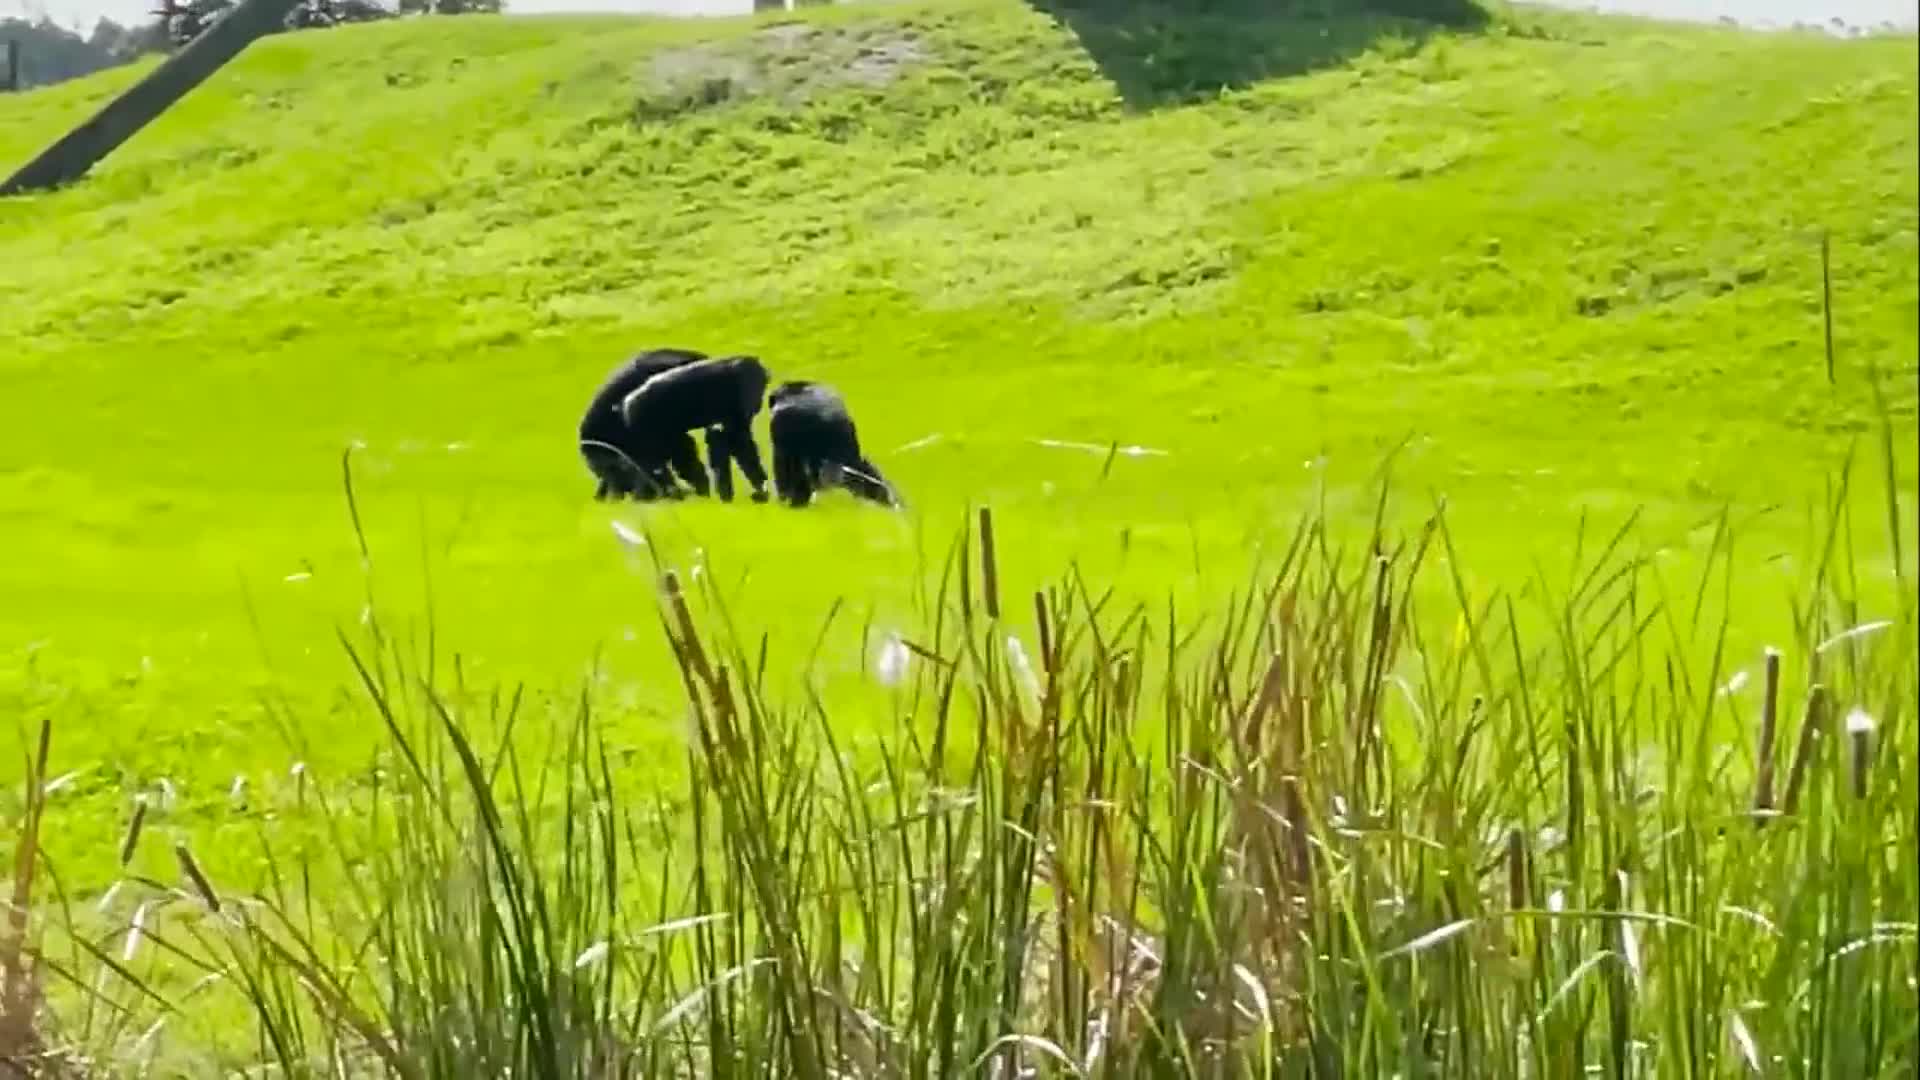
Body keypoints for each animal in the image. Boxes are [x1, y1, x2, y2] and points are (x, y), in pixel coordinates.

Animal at [622, 355, 771, 503]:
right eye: (757, 385)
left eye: (762, 385)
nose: (758, 401)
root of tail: (626, 406)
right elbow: (731, 439)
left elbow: (733, 440)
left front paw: (759, 490)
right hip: (645, 427)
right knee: (661, 464)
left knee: (683, 455)